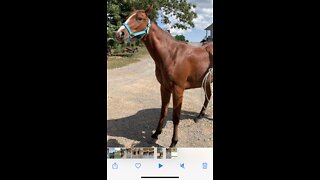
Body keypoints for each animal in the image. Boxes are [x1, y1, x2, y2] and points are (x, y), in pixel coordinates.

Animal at [115, 5, 212, 148]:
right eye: (127, 17)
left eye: (140, 18)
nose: (119, 34)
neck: (172, 55)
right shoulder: (164, 87)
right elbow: (163, 112)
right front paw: (156, 133)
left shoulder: (178, 90)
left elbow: (176, 117)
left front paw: (174, 142)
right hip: (206, 82)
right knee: (208, 96)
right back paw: (200, 116)